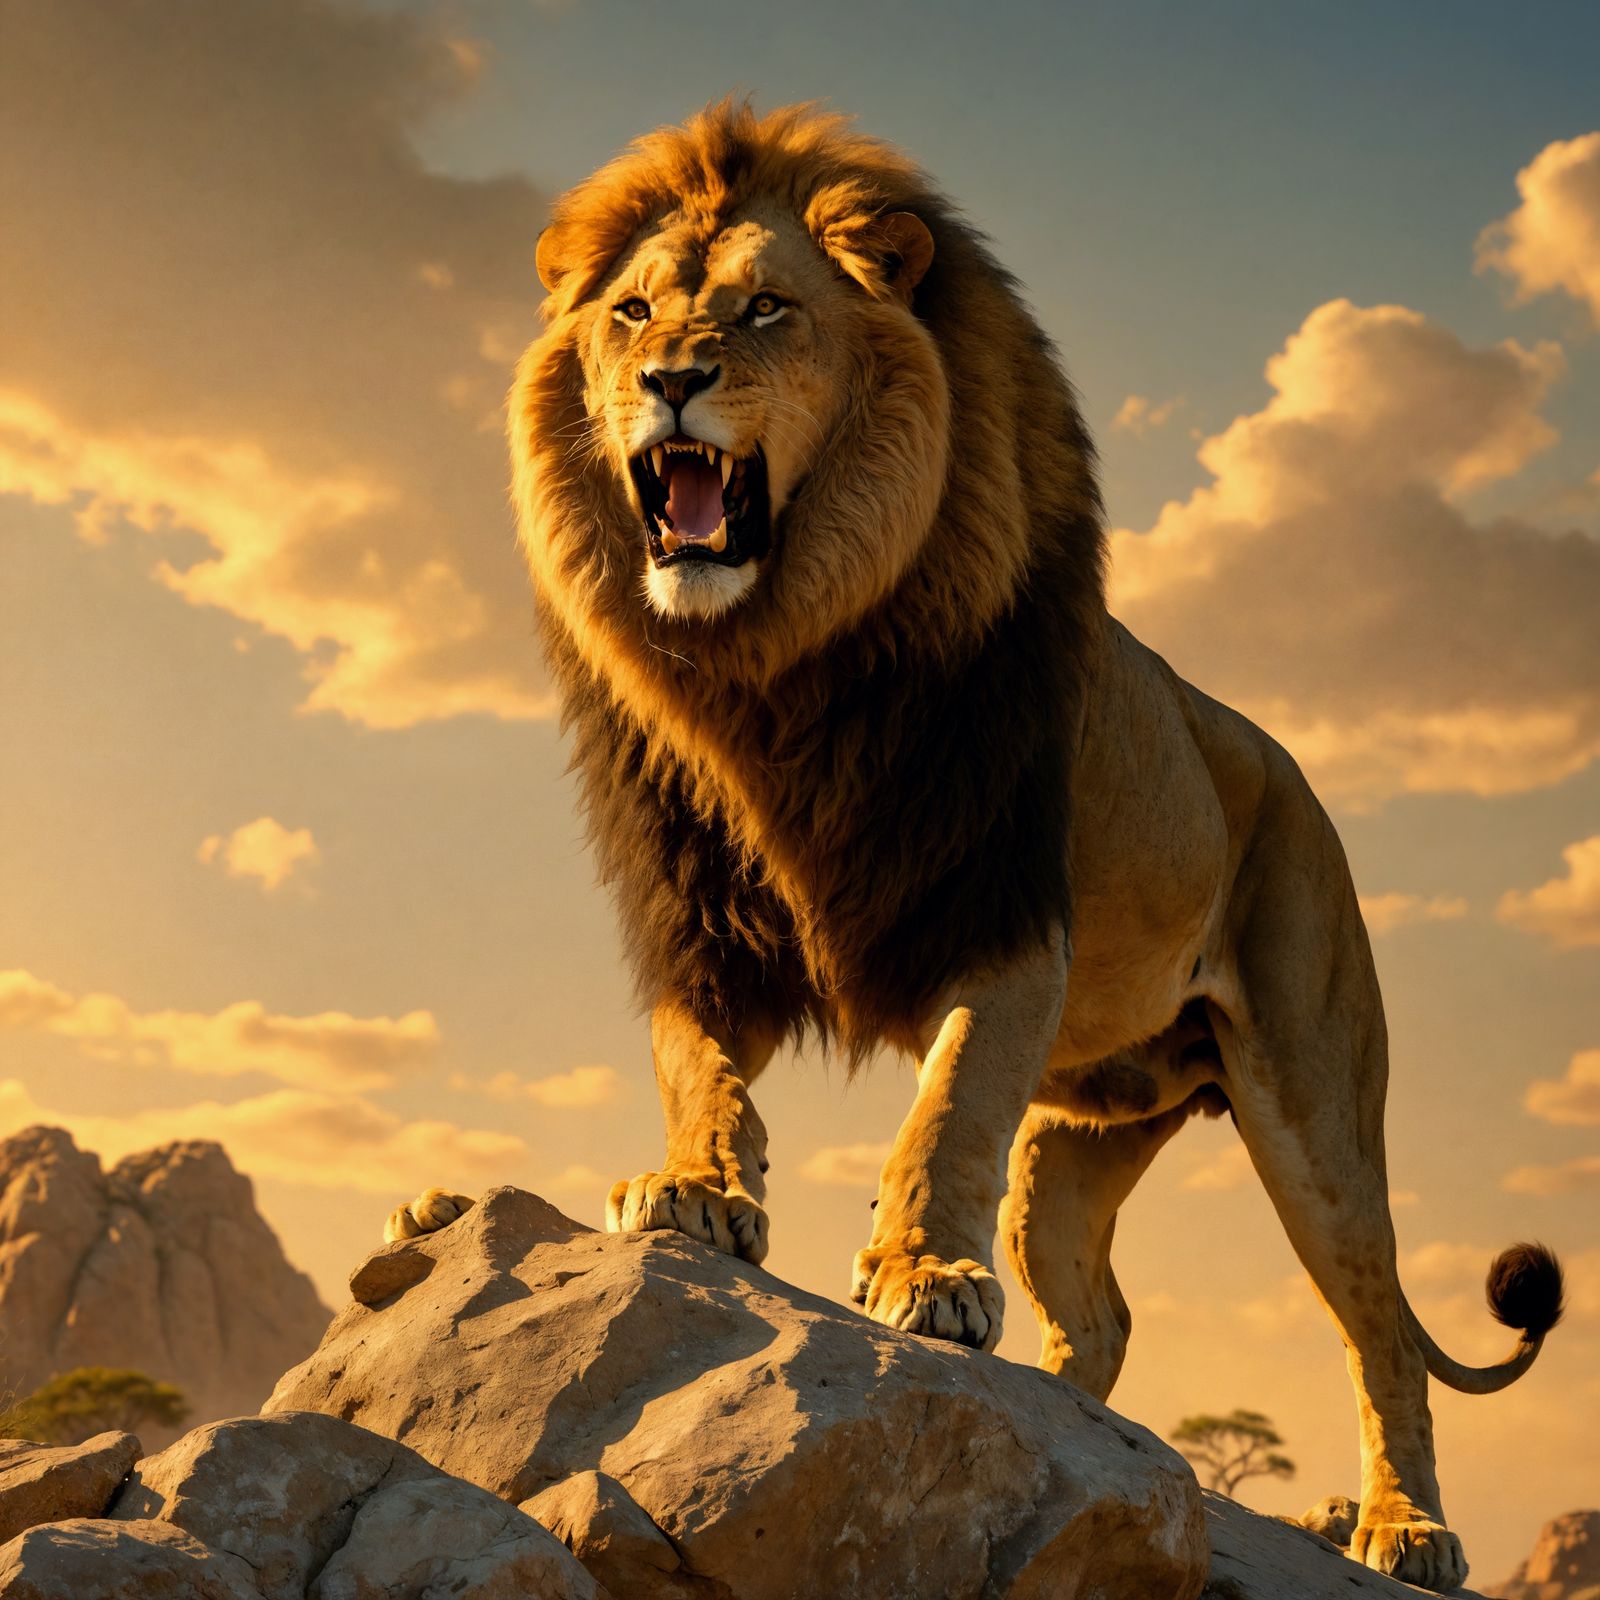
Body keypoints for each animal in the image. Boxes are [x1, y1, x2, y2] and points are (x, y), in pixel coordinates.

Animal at [387, 101, 1564, 1591]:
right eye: (634, 312)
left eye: (765, 309)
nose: (670, 379)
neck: (772, 666)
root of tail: (1287, 766)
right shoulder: (706, 924)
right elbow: (695, 1068)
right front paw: (695, 1189)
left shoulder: (998, 913)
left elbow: (941, 1112)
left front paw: (919, 1277)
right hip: (1075, 1146)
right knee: (1101, 1313)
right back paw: (1084, 1436)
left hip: (1317, 1110)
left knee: (1379, 1336)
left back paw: (1403, 1529)